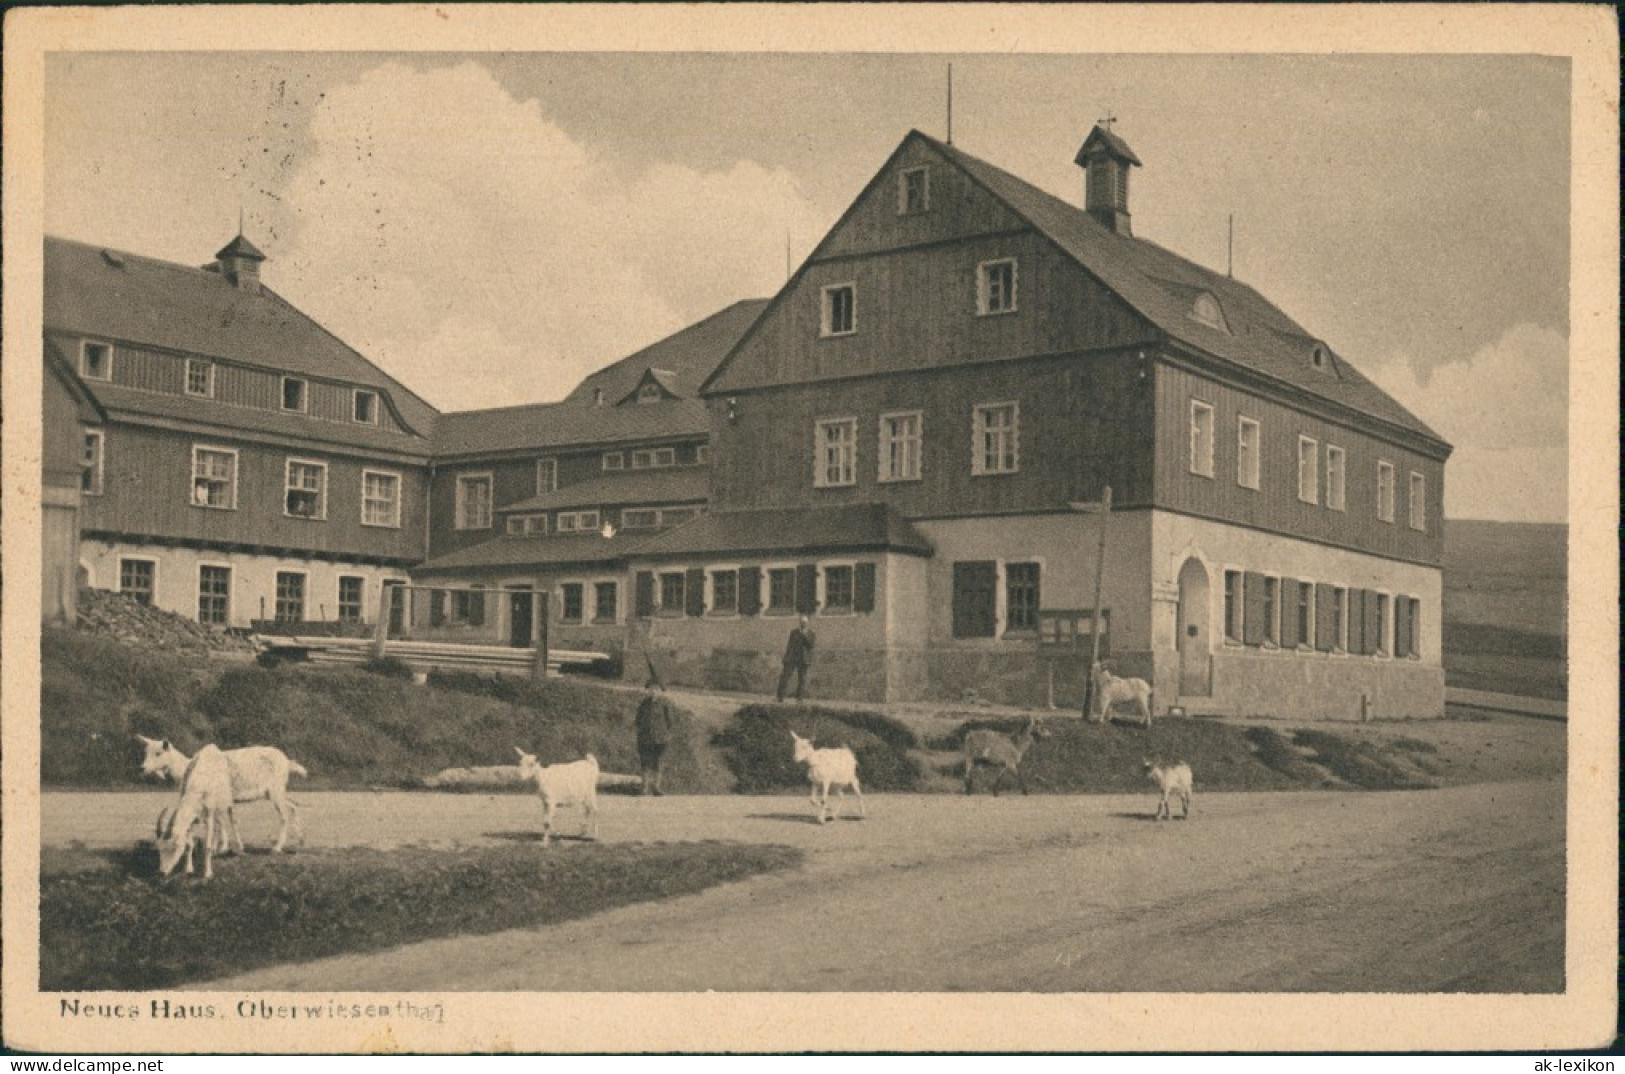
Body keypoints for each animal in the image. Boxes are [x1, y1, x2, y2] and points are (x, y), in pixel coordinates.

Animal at [138, 734, 305, 851]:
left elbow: (220, 821)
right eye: (145, 751)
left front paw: (220, 847)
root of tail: (287, 762)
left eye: (158, 753)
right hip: (275, 791)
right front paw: (225, 846)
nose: (142, 768)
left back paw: (277, 847)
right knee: (293, 805)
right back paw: (300, 842)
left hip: (276, 790)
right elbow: (226, 820)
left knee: (284, 814)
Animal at [153, 740, 234, 877]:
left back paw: (222, 848)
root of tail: (212, 747)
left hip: (222, 802)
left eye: (174, 847)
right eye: (159, 848)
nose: (162, 872)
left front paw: (208, 873)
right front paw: (189, 869)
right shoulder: (193, 817)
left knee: (222, 820)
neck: (198, 785)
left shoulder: (209, 812)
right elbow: (189, 844)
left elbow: (207, 845)